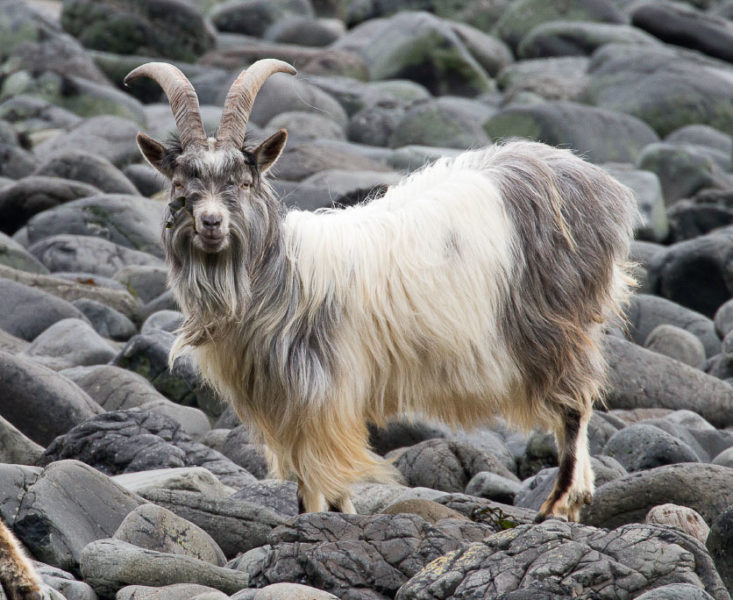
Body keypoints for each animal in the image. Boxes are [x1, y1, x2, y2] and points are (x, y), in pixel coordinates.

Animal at [125, 60, 636, 521]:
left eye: (244, 182)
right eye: (179, 184)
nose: (212, 223)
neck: (283, 278)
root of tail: (602, 188)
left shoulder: (322, 396)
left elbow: (323, 477)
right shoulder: (290, 406)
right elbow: (307, 479)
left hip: (556, 325)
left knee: (574, 404)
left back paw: (556, 504)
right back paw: (577, 502)